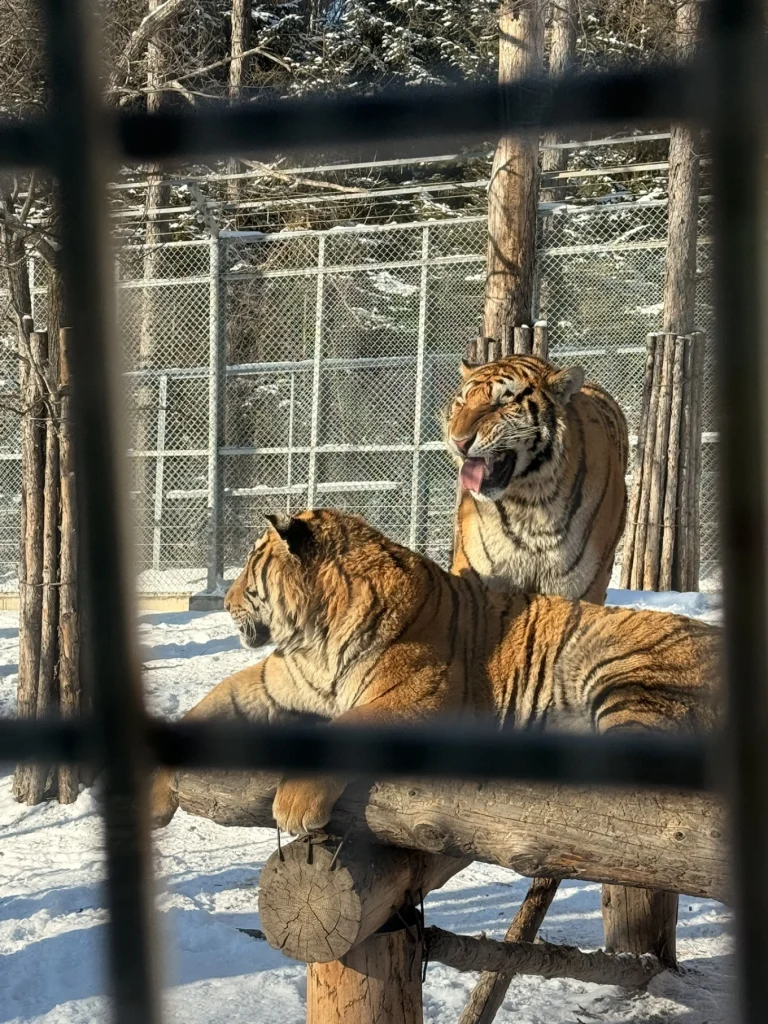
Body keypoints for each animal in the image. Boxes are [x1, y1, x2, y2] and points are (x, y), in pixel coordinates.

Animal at [150, 508, 719, 835]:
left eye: (251, 566)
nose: (224, 601)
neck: (315, 640)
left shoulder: (418, 700)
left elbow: (347, 727)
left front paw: (293, 804)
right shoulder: (269, 686)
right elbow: (203, 710)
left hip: (625, 677)